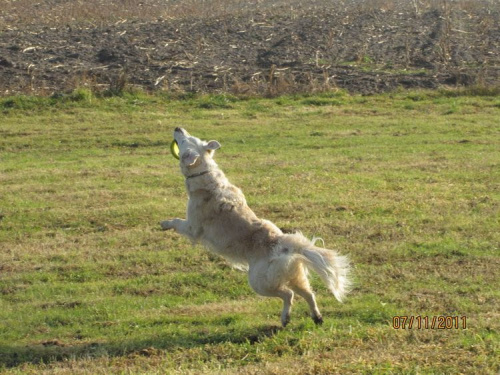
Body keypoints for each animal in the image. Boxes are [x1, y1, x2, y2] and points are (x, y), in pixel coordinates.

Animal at [161, 128, 352, 328]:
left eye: (185, 141)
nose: (178, 128)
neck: (204, 173)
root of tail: (285, 245)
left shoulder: (192, 227)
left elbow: (177, 221)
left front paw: (164, 224)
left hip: (259, 282)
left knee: (288, 295)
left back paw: (285, 318)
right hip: (293, 276)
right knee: (308, 294)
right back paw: (316, 317)